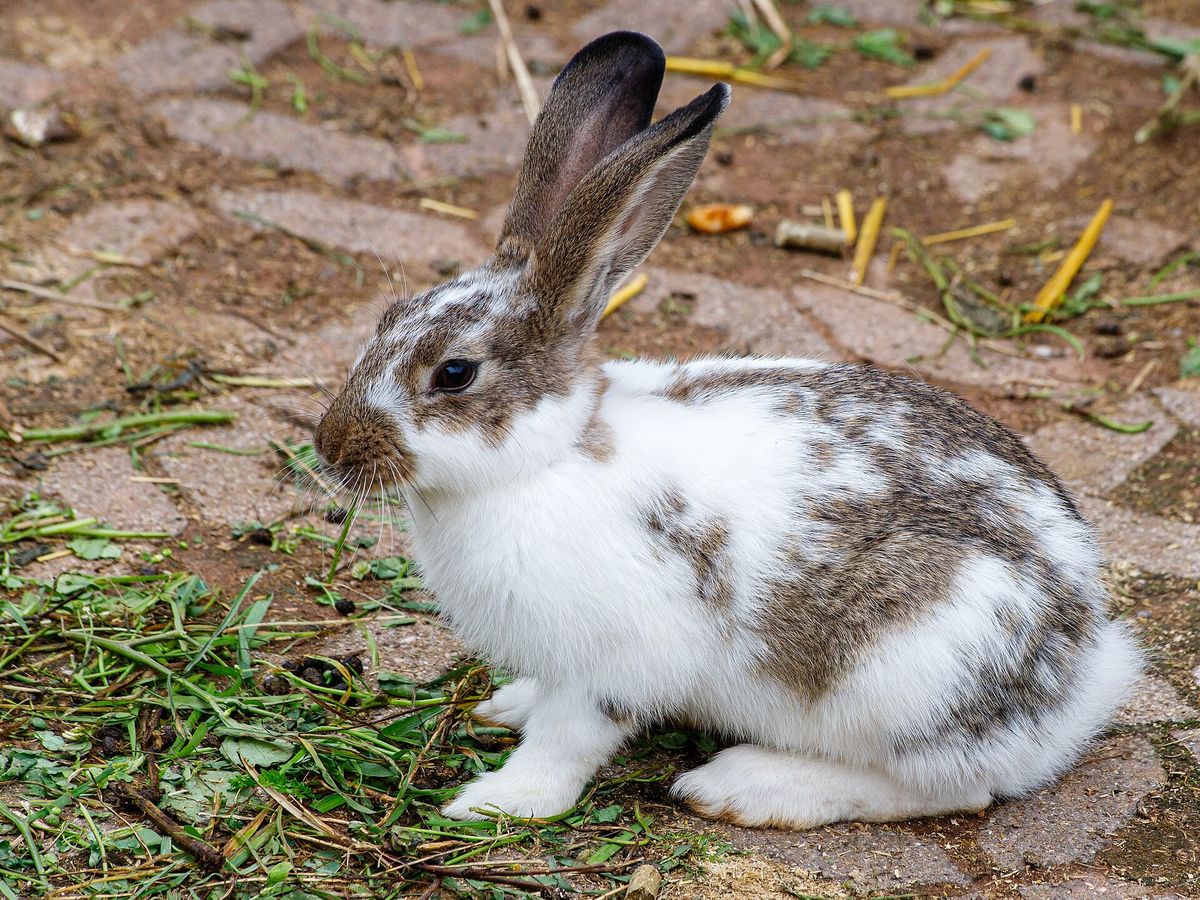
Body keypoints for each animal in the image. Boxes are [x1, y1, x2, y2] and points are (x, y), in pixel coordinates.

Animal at [312, 30, 1143, 829]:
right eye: (386, 317)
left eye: (454, 373)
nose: (331, 448)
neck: (545, 460)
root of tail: (1077, 684)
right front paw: (508, 705)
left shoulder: (614, 661)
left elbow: (566, 741)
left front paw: (498, 803)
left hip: (911, 674)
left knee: (953, 789)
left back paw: (745, 786)